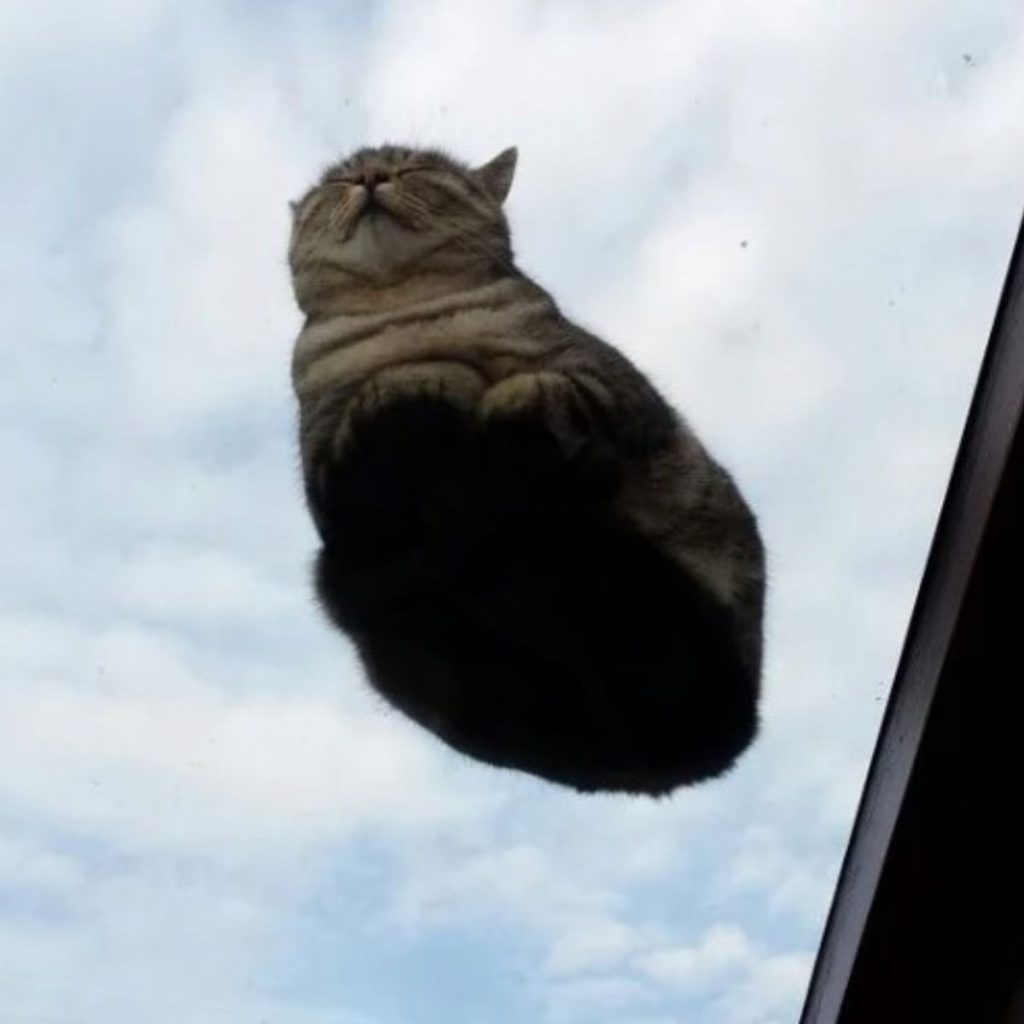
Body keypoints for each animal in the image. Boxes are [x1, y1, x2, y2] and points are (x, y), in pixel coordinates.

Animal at [284, 146, 765, 798]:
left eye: (413, 167)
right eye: (339, 178)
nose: (369, 177)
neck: (404, 312)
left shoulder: (611, 386)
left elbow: (540, 386)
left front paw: (486, 391)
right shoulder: (328, 474)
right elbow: (391, 391)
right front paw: (427, 378)